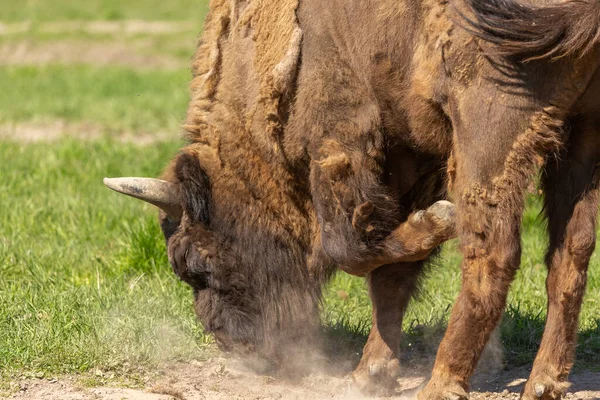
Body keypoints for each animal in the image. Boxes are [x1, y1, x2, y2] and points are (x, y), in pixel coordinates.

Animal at [105, 0, 600, 398]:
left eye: (197, 264)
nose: (234, 345)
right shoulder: (407, 157)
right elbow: (389, 275)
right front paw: (368, 375)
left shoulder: (341, 137)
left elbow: (350, 248)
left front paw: (439, 220)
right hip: (581, 137)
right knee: (570, 254)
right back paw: (544, 383)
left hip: (491, 128)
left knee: (493, 255)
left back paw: (441, 384)